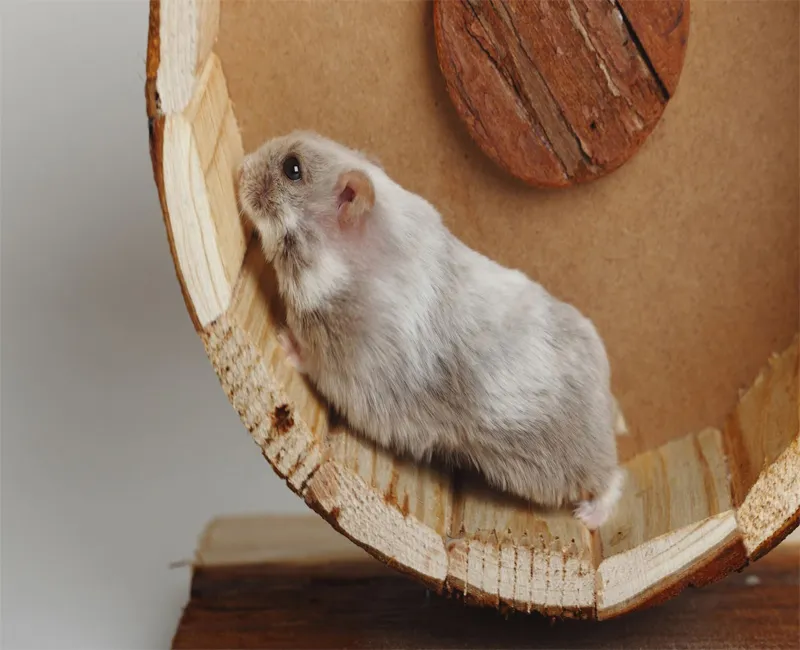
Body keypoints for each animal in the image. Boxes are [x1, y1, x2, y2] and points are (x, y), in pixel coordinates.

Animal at [238, 131, 623, 529]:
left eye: (292, 169)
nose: (241, 166)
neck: (344, 269)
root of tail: (606, 398)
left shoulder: (347, 370)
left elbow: (310, 360)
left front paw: (283, 338)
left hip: (565, 464)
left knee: (612, 479)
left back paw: (589, 517)